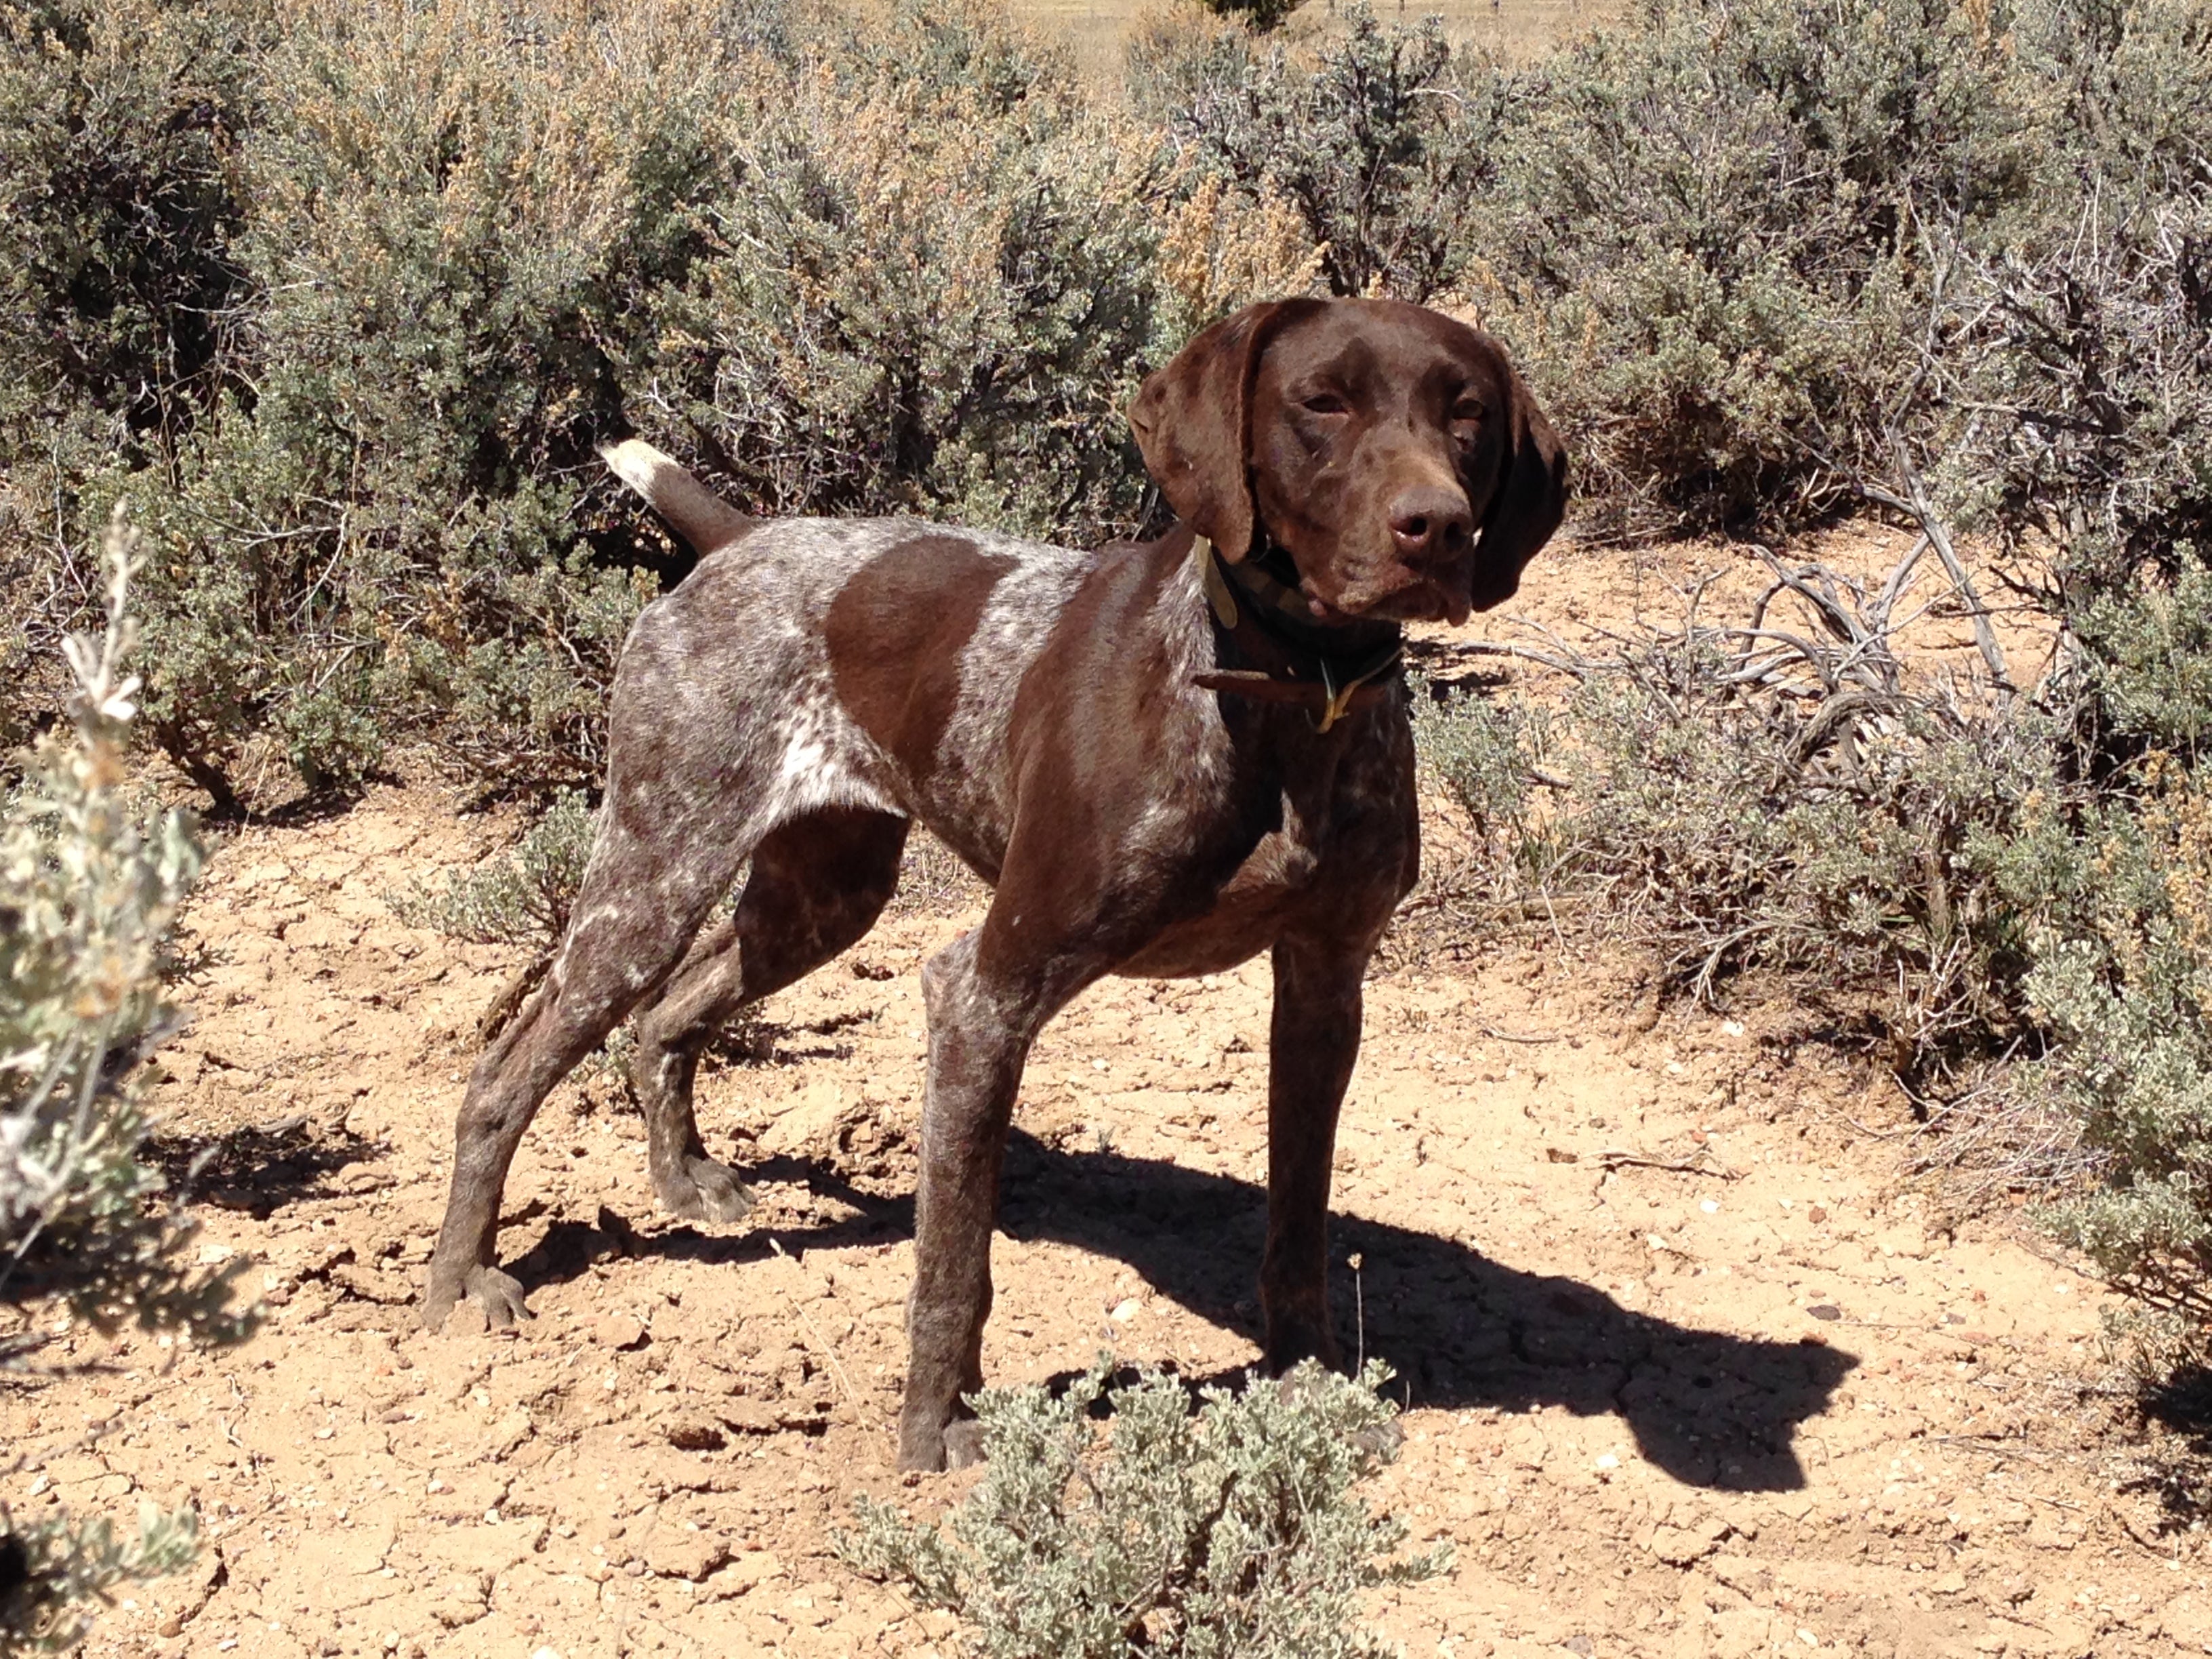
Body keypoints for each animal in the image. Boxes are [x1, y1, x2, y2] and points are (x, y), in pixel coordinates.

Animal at [422, 296, 1565, 1469]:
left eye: (1469, 414)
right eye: (1322, 402)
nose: (1436, 528)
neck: (1290, 689)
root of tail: (751, 539)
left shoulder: (1326, 985)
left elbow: (1299, 1223)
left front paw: (1310, 1380)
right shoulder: (987, 992)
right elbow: (955, 1262)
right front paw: (941, 1423)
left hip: (821, 898)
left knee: (666, 1016)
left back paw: (682, 1177)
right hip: (656, 871)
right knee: (508, 1071)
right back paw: (463, 1276)